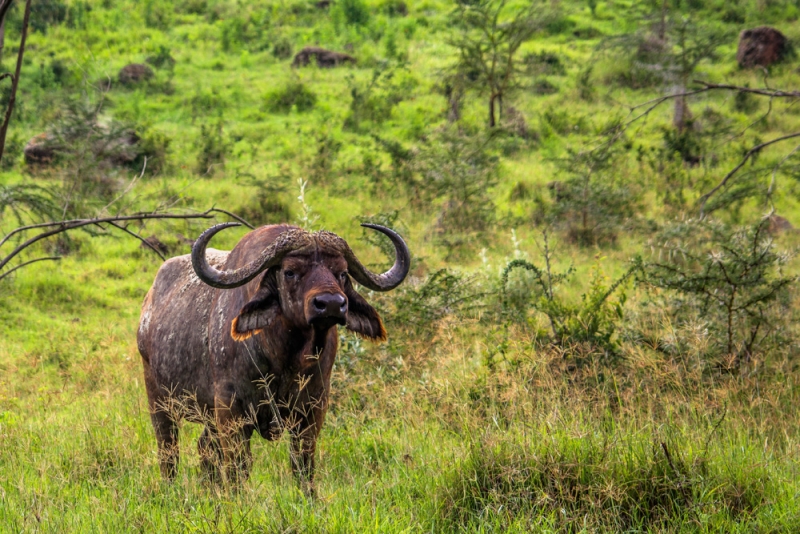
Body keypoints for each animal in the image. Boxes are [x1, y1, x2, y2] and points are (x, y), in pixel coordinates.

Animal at [138, 222, 410, 490]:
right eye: (290, 272)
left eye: (342, 273)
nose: (331, 304)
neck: (286, 359)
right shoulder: (231, 411)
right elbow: (238, 469)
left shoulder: (313, 410)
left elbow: (303, 466)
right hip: (159, 401)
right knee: (169, 452)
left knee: (205, 449)